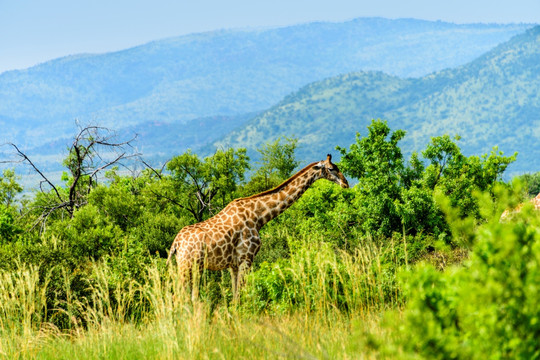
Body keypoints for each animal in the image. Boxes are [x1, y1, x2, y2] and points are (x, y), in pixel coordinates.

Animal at [167, 154, 348, 298]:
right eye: (332, 168)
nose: (345, 183)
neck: (259, 217)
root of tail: (176, 244)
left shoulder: (233, 264)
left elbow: (235, 296)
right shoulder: (246, 258)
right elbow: (240, 295)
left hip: (192, 267)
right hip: (187, 265)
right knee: (178, 296)